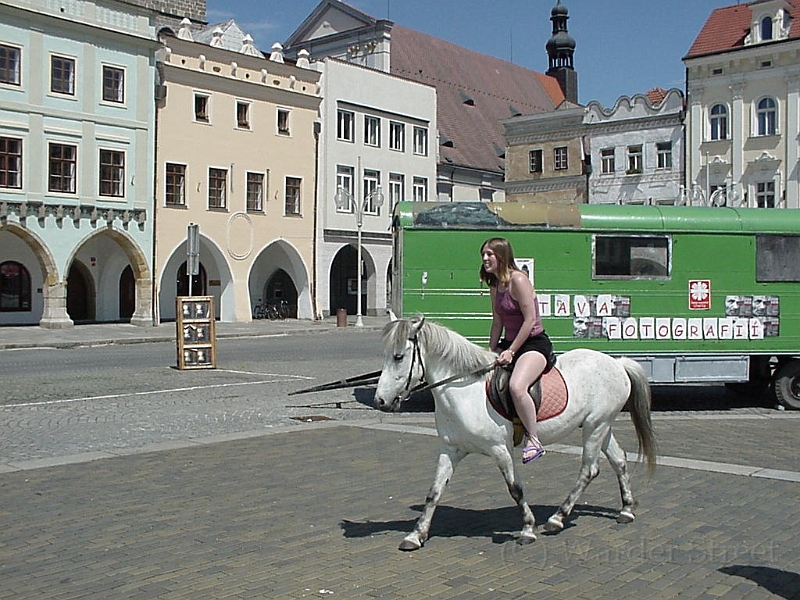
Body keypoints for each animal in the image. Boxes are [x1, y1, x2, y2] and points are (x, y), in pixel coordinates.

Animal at [376, 316, 656, 552]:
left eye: (399, 356)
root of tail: (617, 363)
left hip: (596, 426)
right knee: (618, 460)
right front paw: (416, 535)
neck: (464, 389)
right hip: (601, 425)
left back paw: (557, 518)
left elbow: (515, 489)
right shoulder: (451, 449)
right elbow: (434, 492)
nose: (380, 401)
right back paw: (626, 509)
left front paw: (528, 529)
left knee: (589, 469)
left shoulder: (500, 449)